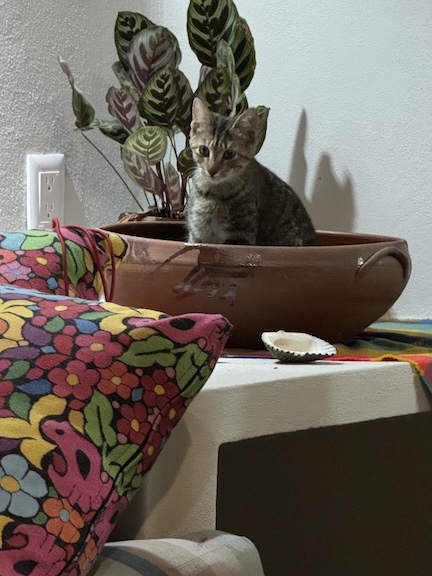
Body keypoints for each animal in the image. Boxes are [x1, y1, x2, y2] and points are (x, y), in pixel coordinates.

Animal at [186, 98, 315, 246]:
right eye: (204, 150)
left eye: (229, 153)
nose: (212, 170)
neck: (213, 195)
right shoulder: (197, 234)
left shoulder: (241, 234)